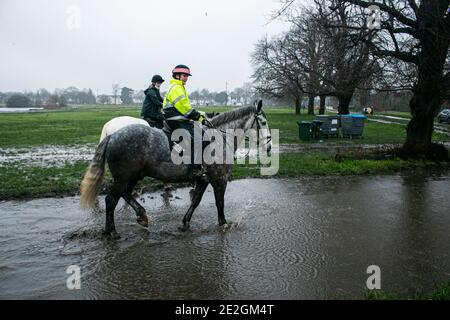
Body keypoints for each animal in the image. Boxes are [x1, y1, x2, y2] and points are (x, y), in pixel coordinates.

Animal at [80, 100, 270, 238]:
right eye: (263, 122)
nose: (269, 146)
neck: (219, 138)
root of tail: (113, 135)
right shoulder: (219, 180)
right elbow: (219, 202)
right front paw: (223, 224)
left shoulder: (204, 179)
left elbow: (195, 201)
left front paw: (185, 223)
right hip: (124, 177)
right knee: (111, 199)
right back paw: (113, 229)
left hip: (132, 176)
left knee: (123, 195)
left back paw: (138, 217)